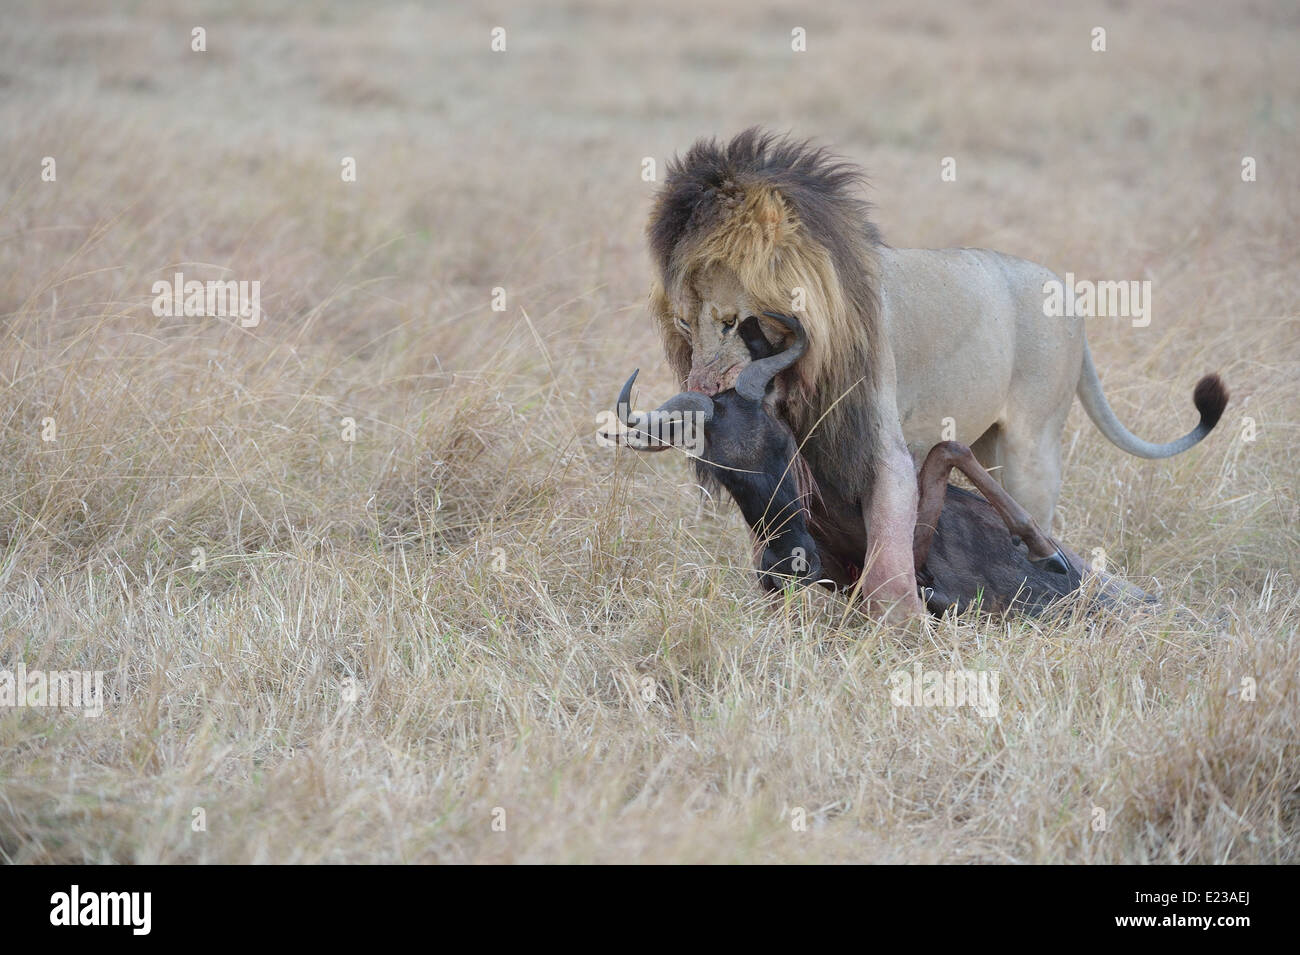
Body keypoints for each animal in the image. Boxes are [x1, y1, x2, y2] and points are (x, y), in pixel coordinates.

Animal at [645, 128, 1226, 616]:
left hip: (1032, 447)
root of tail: (1066, 294)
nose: (701, 392)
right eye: (683, 322)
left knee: (1043, 527)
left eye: (730, 321)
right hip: (992, 445)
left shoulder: (880, 443)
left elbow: (887, 566)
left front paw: (905, 622)